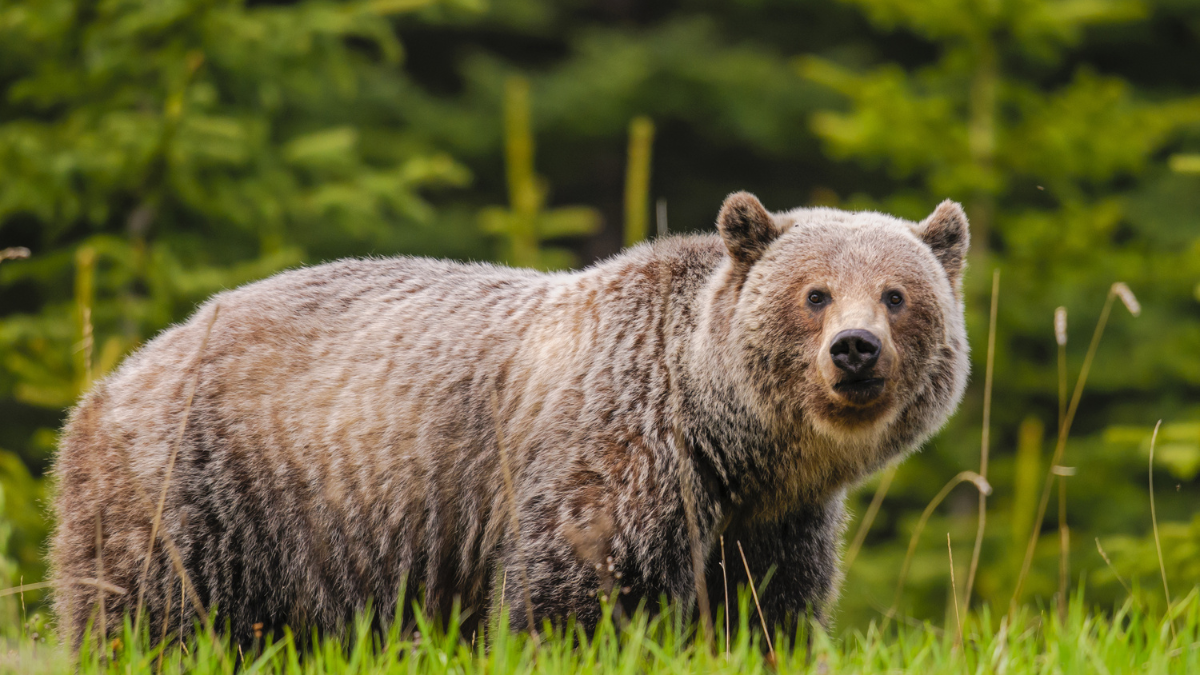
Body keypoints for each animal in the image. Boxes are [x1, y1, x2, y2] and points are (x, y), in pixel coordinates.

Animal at [50, 192, 969, 647]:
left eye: (897, 293)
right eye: (815, 292)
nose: (855, 349)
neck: (730, 441)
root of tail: (117, 375)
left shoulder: (768, 522)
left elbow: (764, 612)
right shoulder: (617, 458)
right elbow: (575, 599)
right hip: (202, 493)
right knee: (152, 620)